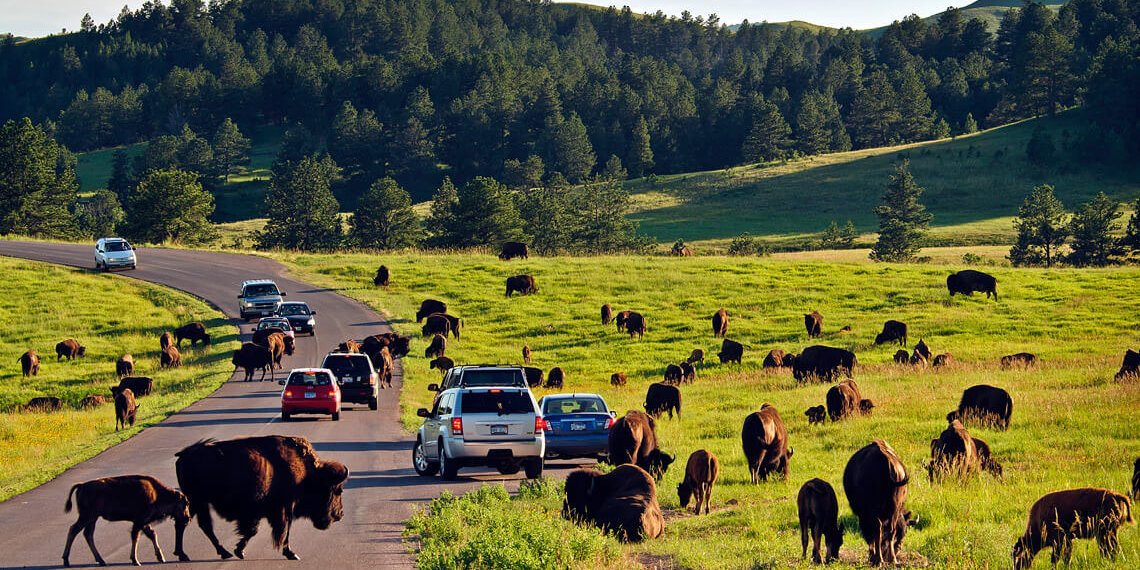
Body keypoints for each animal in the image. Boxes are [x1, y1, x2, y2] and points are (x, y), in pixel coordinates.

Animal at [61, 474, 189, 567]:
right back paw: (66, 561)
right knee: (74, 530)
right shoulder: (139, 521)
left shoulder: (143, 523)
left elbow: (152, 534)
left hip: (92, 519)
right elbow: (135, 537)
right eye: (185, 504)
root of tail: (82, 485)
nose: (187, 518)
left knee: (88, 534)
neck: (157, 494)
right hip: (86, 517)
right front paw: (135, 561)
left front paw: (161, 558)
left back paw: (101, 561)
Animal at [173, 435, 348, 560]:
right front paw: (290, 553)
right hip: (197, 500)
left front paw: (240, 551)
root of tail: (184, 455)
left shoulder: (269, 512)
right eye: (338, 491)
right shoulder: (282, 509)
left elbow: (260, 531)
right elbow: (277, 531)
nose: (340, 514)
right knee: (197, 524)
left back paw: (194, 554)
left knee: (190, 524)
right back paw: (203, 553)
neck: (307, 473)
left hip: (196, 502)